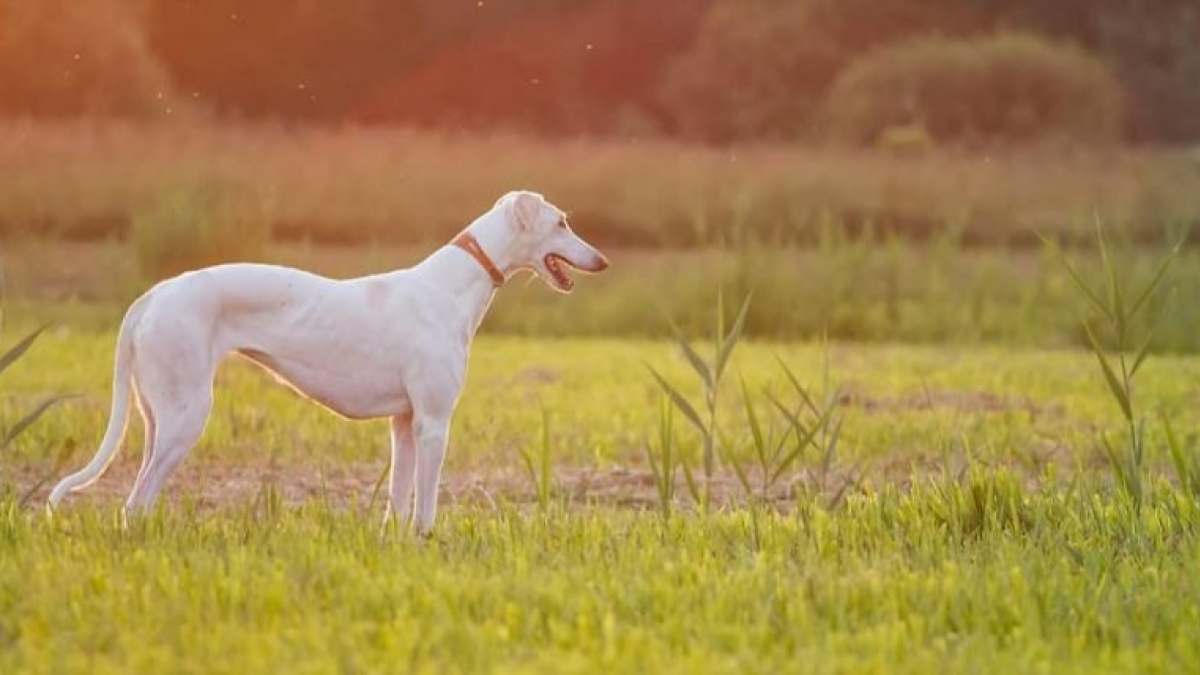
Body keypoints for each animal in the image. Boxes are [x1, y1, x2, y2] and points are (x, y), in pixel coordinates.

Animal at [46, 192, 609, 533]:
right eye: (562, 222)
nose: (602, 260)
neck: (450, 286)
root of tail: (155, 293)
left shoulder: (404, 424)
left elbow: (397, 502)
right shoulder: (433, 423)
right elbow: (425, 506)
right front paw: (430, 544)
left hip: (157, 417)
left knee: (137, 495)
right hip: (186, 415)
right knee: (134, 502)